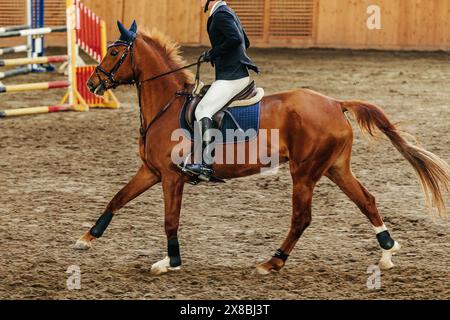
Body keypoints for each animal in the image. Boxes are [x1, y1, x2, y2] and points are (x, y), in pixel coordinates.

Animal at [75, 22, 448, 276]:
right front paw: (86, 238)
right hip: (335, 167)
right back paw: (387, 251)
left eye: (114, 52)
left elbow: (170, 220)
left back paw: (272, 262)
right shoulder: (151, 171)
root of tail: (335, 103)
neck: (167, 105)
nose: (92, 83)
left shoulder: (170, 176)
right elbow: (117, 198)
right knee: (366, 200)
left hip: (305, 172)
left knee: (301, 219)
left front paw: (171, 261)